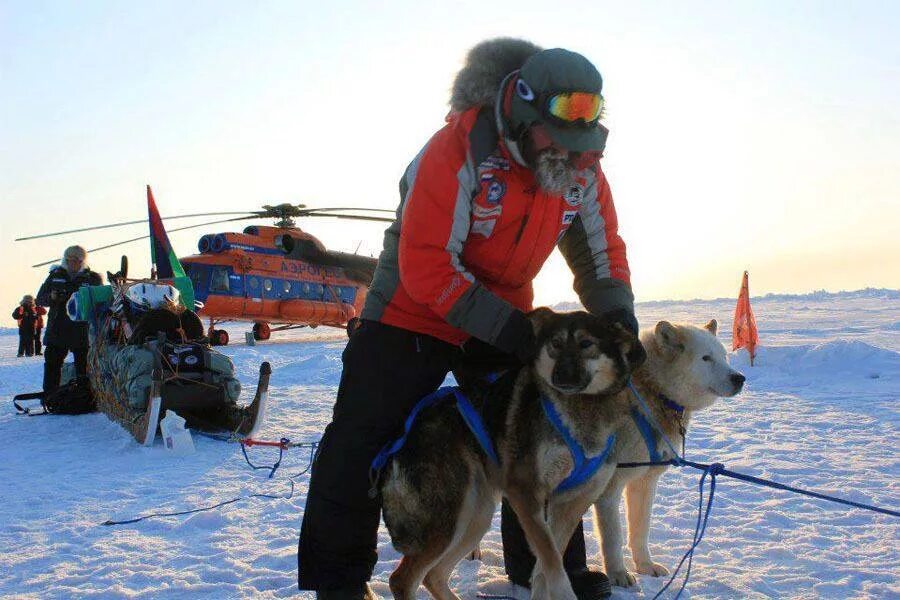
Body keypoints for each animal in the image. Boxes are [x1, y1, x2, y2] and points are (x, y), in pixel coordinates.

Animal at [384, 310, 644, 600]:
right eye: (555, 344)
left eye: (586, 343)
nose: (561, 376)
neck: (579, 412)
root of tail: (405, 435)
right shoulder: (524, 492)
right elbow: (552, 562)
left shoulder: (572, 502)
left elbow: (546, 564)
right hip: (449, 520)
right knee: (402, 579)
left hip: (475, 518)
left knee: (433, 575)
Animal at [592, 318, 744, 584]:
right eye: (706, 358)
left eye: (725, 356)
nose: (740, 378)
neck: (651, 392)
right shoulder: (608, 487)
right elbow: (612, 537)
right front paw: (618, 574)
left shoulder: (644, 482)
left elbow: (640, 531)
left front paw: (645, 565)